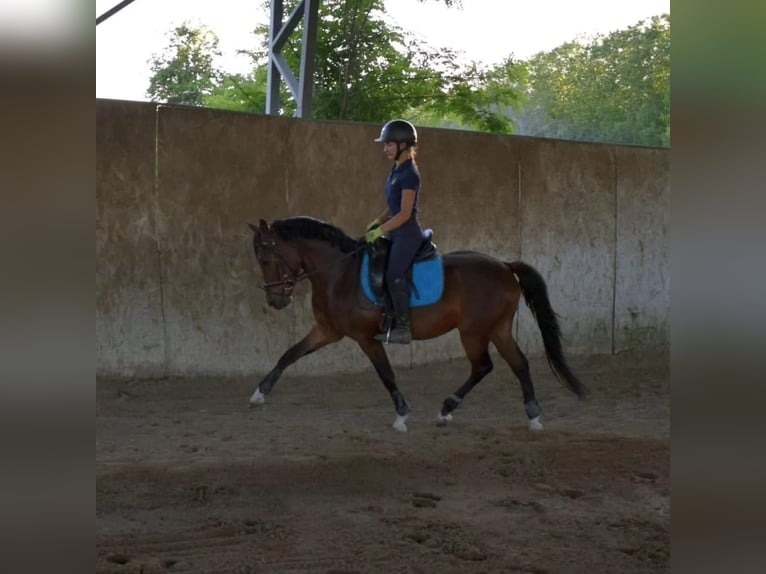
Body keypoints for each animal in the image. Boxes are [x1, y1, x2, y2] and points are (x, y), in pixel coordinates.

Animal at [248, 216, 588, 432]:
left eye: (265, 259)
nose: (276, 301)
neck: (339, 272)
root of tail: (504, 266)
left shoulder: (364, 337)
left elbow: (386, 373)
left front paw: (401, 415)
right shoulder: (328, 331)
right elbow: (290, 354)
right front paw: (259, 394)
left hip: (474, 331)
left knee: (483, 366)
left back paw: (448, 408)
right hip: (498, 328)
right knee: (518, 364)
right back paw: (532, 415)